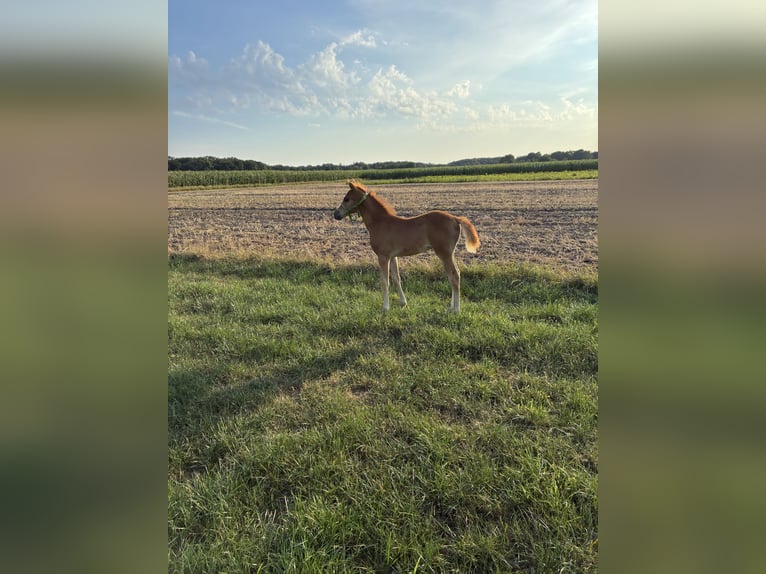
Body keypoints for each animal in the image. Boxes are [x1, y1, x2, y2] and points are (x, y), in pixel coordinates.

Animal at [333, 179, 480, 313]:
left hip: (444, 253)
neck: (380, 222)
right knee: (453, 275)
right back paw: (451, 306)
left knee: (454, 276)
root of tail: (455, 219)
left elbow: (384, 281)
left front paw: (385, 308)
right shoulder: (393, 257)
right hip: (449, 254)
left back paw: (456, 309)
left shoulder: (383, 256)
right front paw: (403, 303)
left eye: (347, 199)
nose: (336, 214)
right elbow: (396, 279)